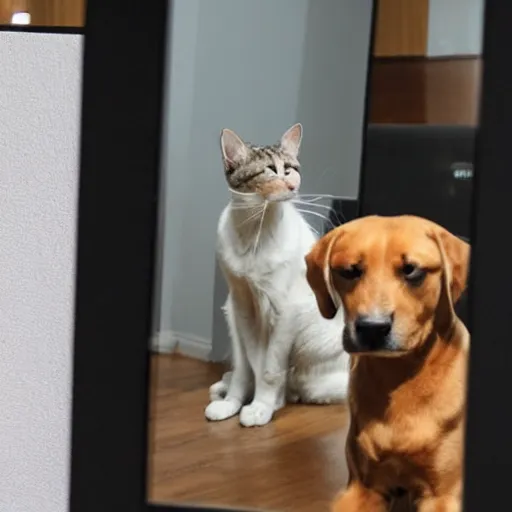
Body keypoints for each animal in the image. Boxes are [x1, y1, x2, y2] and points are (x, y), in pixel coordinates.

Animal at [205, 125, 352, 428]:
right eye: (271, 170)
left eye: (292, 169)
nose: (293, 187)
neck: (255, 230)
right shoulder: (243, 305)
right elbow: (251, 365)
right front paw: (236, 403)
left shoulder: (285, 310)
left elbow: (270, 370)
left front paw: (261, 407)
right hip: (230, 313)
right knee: (243, 370)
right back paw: (227, 394)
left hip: (315, 374)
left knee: (294, 385)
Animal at [306, 216, 470, 512]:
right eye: (349, 271)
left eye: (411, 270)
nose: (373, 328)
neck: (397, 378)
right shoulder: (363, 488)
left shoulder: (442, 495)